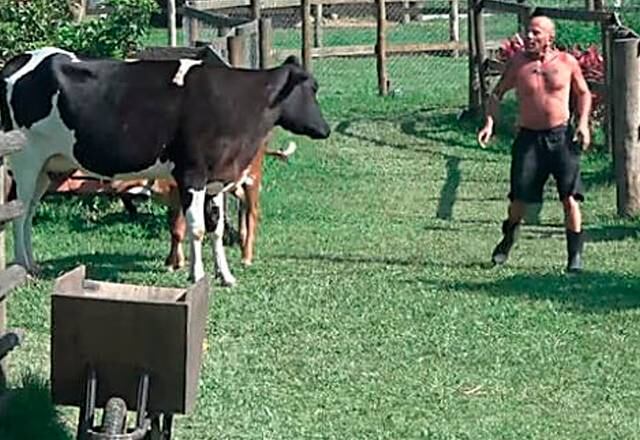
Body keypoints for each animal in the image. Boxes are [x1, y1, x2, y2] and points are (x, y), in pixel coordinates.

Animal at [1, 46, 330, 285]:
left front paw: (225, 275)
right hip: (26, 159)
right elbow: (196, 228)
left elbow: (217, 229)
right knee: (20, 213)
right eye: (311, 88)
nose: (325, 129)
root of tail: (20, 59)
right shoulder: (191, 173)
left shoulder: (216, 179)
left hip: (48, 167)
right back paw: (24, 266)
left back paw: (33, 265)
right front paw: (197, 275)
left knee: (29, 211)